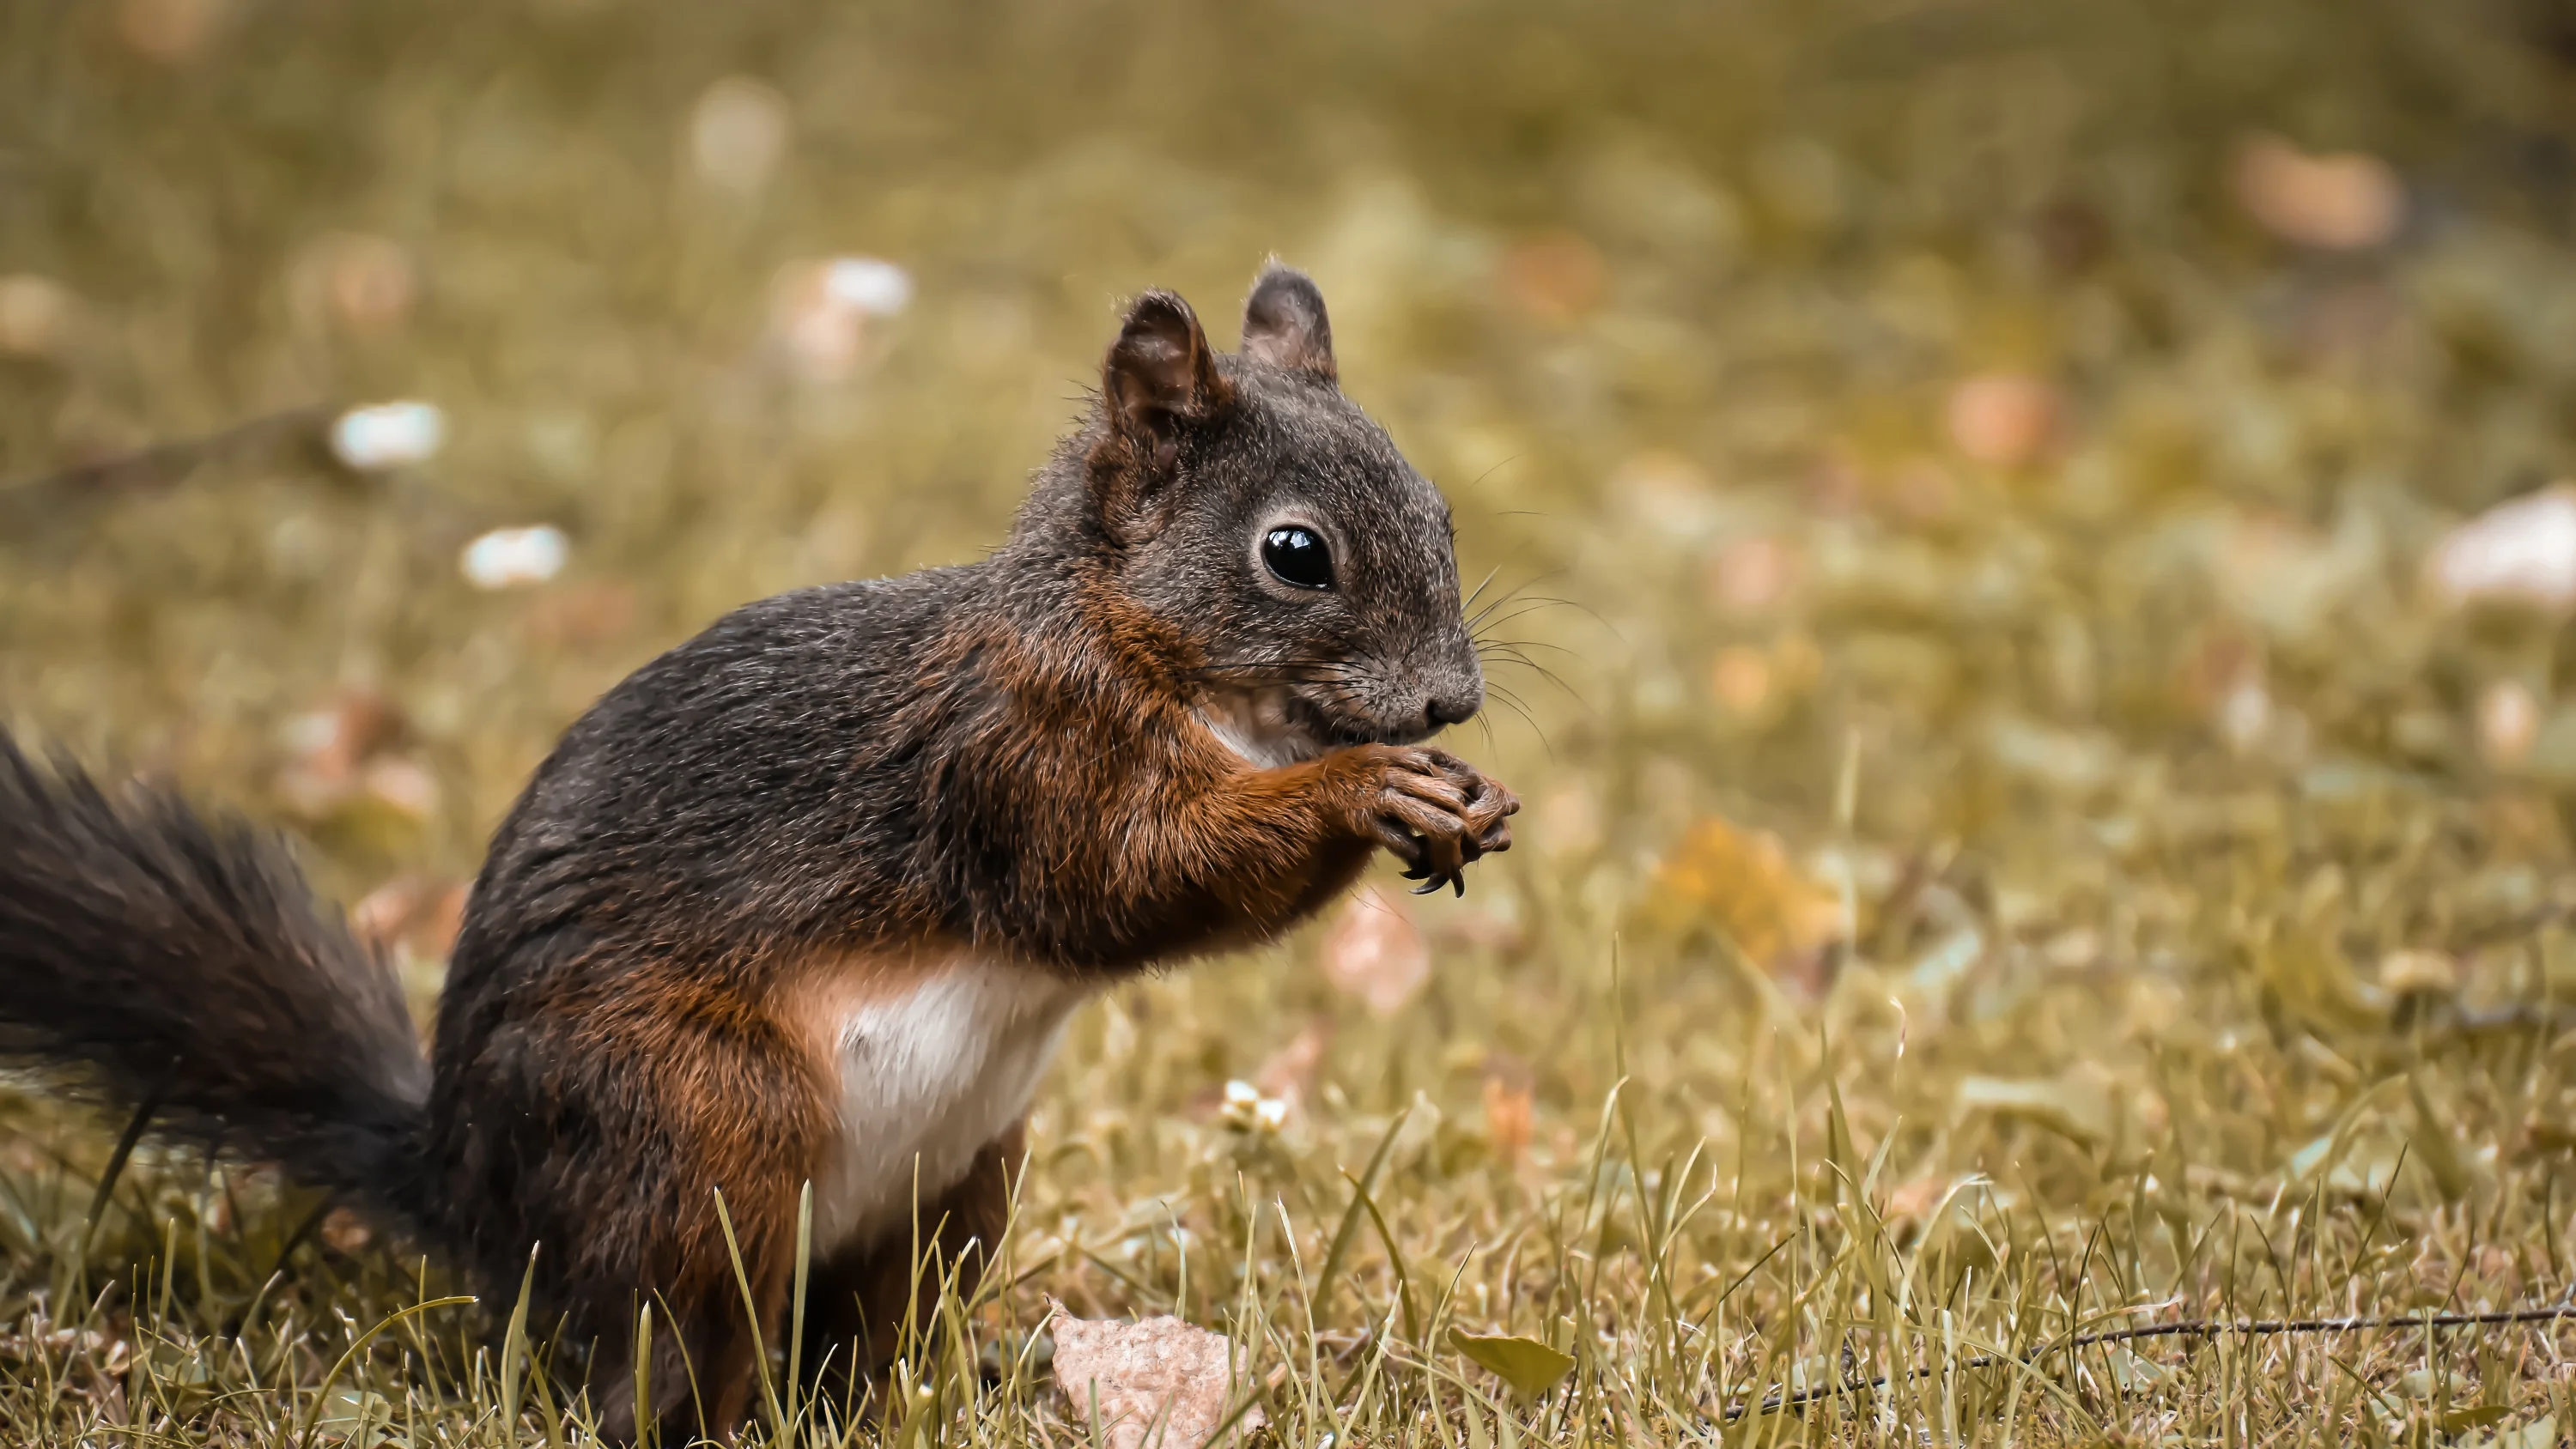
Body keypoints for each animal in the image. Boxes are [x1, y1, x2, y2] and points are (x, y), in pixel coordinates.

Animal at [0, 264, 1517, 1441]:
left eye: (1443, 511)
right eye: (1295, 553)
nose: (1452, 699)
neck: (1153, 655)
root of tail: (473, 1193)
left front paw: (1464, 798)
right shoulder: (1016, 757)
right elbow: (1134, 879)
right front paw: (1368, 790)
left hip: (959, 1186)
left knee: (853, 1346)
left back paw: (919, 1403)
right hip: (696, 1125)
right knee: (660, 1357)